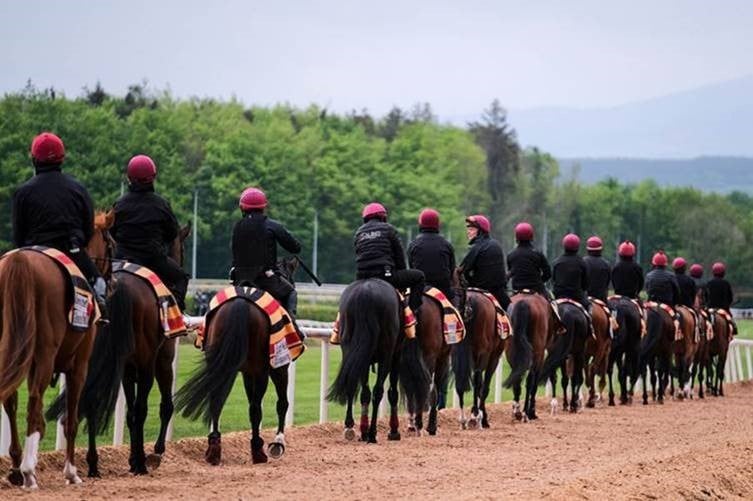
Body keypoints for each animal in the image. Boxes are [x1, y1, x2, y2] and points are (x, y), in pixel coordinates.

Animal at [0, 216, 116, 488]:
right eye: (111, 246)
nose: (112, 283)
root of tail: (20, 261)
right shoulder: (80, 365)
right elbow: (70, 419)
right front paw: (71, 472)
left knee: (11, 399)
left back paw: (18, 468)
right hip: (45, 353)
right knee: (33, 403)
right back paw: (29, 472)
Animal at [46, 212, 191, 476]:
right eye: (183, 249)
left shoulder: (125, 366)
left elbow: (130, 410)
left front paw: (133, 457)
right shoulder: (161, 359)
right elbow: (162, 406)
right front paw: (153, 453)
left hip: (96, 358)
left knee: (92, 401)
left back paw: (94, 463)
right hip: (146, 361)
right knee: (142, 407)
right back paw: (142, 462)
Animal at [328, 280, 428, 444]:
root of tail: (365, 294)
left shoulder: (364, 358)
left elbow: (364, 392)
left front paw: (362, 430)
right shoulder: (394, 356)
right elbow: (392, 392)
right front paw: (393, 431)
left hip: (352, 350)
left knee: (353, 385)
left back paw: (351, 428)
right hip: (385, 356)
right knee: (378, 391)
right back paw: (372, 433)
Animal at [402, 292, 450, 434]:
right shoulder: (443, 357)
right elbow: (436, 386)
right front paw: (432, 426)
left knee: (409, 386)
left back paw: (413, 424)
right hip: (430, 357)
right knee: (426, 386)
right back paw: (420, 423)